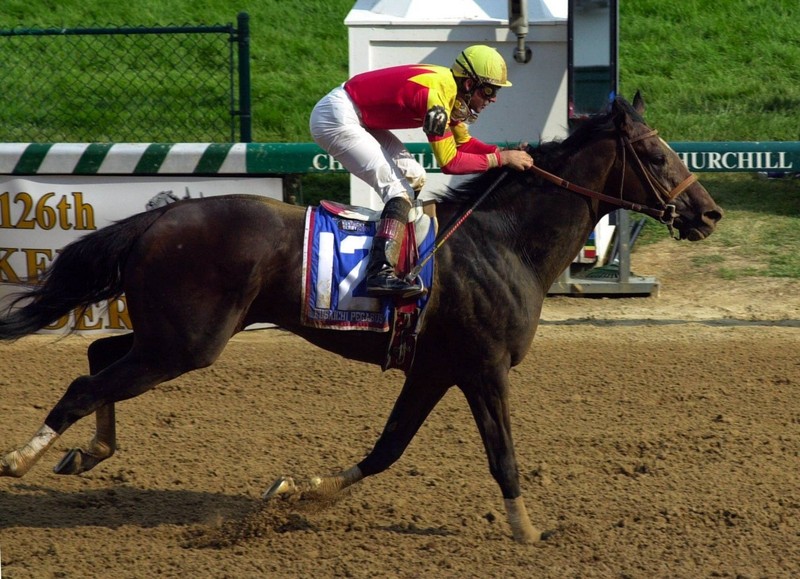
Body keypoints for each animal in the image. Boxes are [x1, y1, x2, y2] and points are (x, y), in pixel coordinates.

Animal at [0, 95, 720, 544]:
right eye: (658, 156)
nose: (708, 213)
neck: (504, 241)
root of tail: (161, 216)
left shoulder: (434, 368)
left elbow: (386, 449)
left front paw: (298, 490)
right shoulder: (484, 367)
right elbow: (502, 456)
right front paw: (529, 531)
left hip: (170, 334)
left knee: (100, 356)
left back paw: (88, 452)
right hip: (186, 342)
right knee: (85, 383)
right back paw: (22, 459)